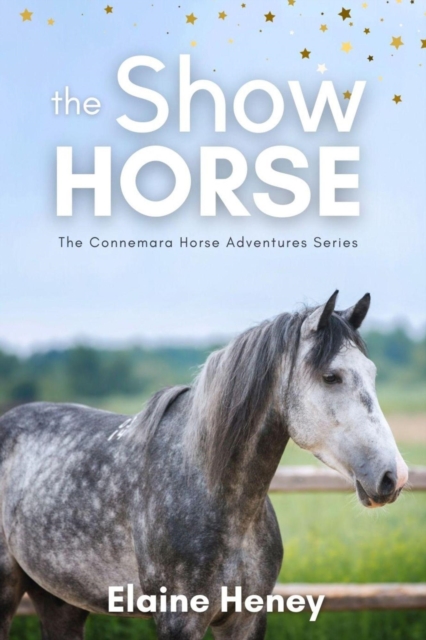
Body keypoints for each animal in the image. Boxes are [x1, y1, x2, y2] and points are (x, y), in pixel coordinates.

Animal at [0, 291, 408, 640]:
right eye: (330, 377)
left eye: (372, 374)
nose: (394, 476)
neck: (213, 492)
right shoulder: (180, 620)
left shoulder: (246, 618)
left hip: (59, 601)